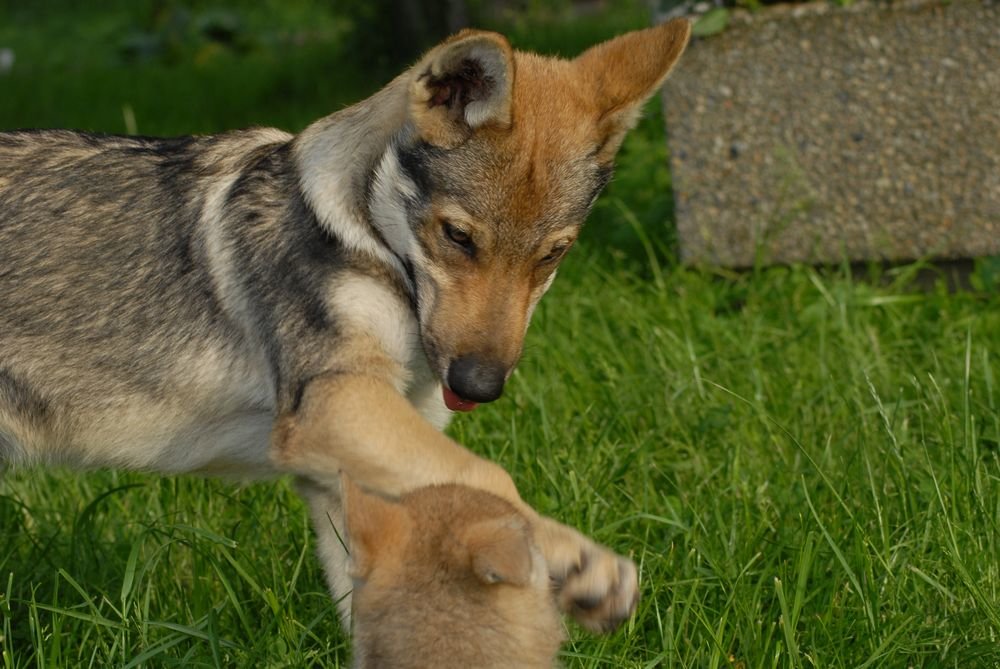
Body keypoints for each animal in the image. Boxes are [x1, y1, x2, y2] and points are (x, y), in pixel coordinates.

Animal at [0, 20, 691, 636]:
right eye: (457, 237)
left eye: (553, 255)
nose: (480, 385)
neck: (368, 241)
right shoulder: (335, 401)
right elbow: (490, 478)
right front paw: (583, 567)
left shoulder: (362, 468)